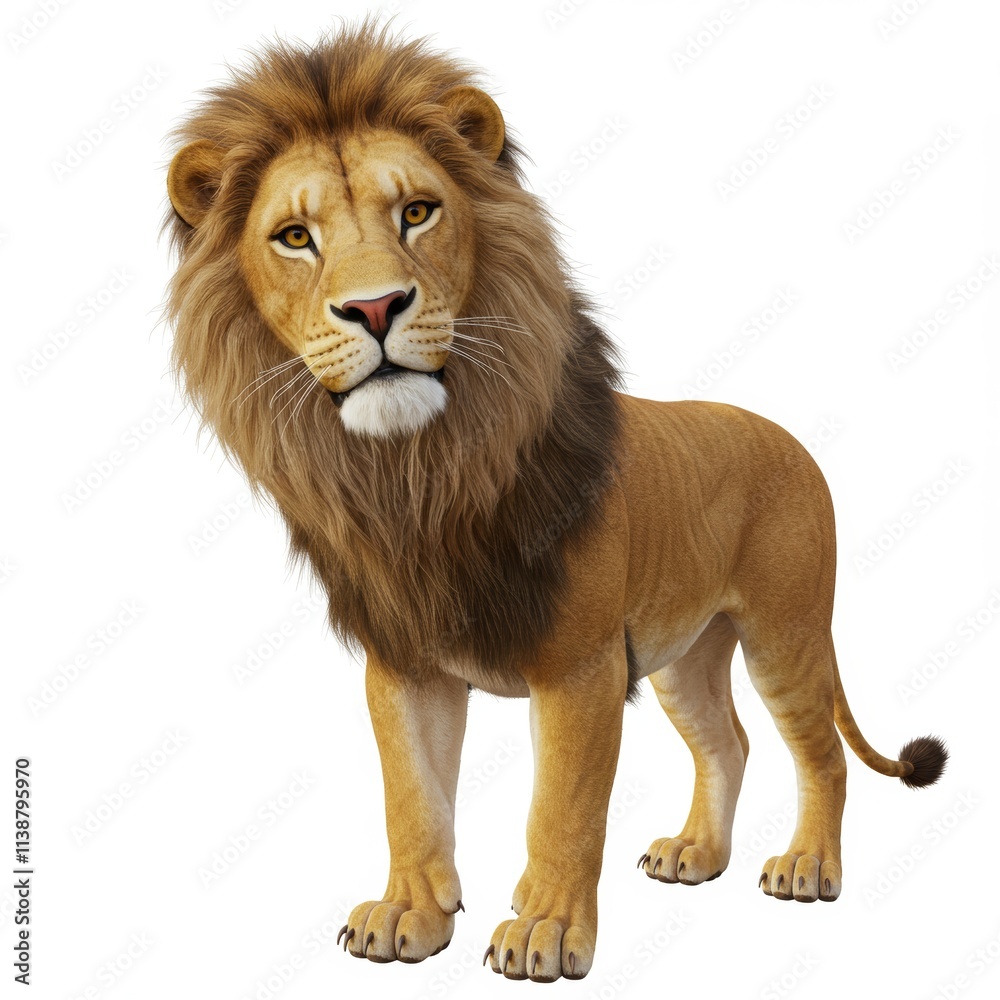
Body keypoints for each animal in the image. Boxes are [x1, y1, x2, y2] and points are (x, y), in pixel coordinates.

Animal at [164, 22, 947, 983]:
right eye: (294, 237)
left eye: (417, 212)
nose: (377, 307)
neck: (423, 474)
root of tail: (789, 439)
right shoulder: (405, 664)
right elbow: (410, 796)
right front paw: (410, 914)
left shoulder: (581, 666)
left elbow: (562, 810)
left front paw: (544, 933)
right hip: (688, 650)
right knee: (728, 740)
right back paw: (696, 855)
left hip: (784, 629)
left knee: (823, 753)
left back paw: (807, 867)